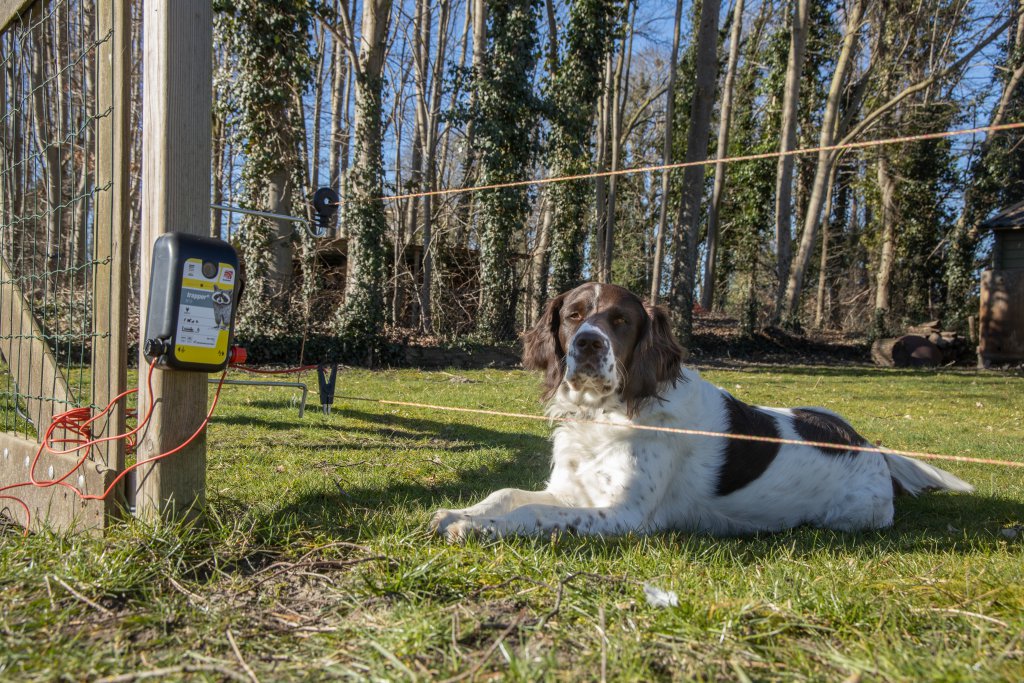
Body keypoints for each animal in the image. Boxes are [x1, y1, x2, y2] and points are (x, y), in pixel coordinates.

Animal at [428, 280, 970, 540]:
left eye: (620, 321)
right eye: (572, 316)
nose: (586, 344)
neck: (607, 414)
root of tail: (867, 445)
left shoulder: (624, 516)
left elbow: (533, 513)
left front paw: (476, 527)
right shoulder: (573, 491)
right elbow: (506, 493)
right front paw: (462, 512)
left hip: (854, 516)